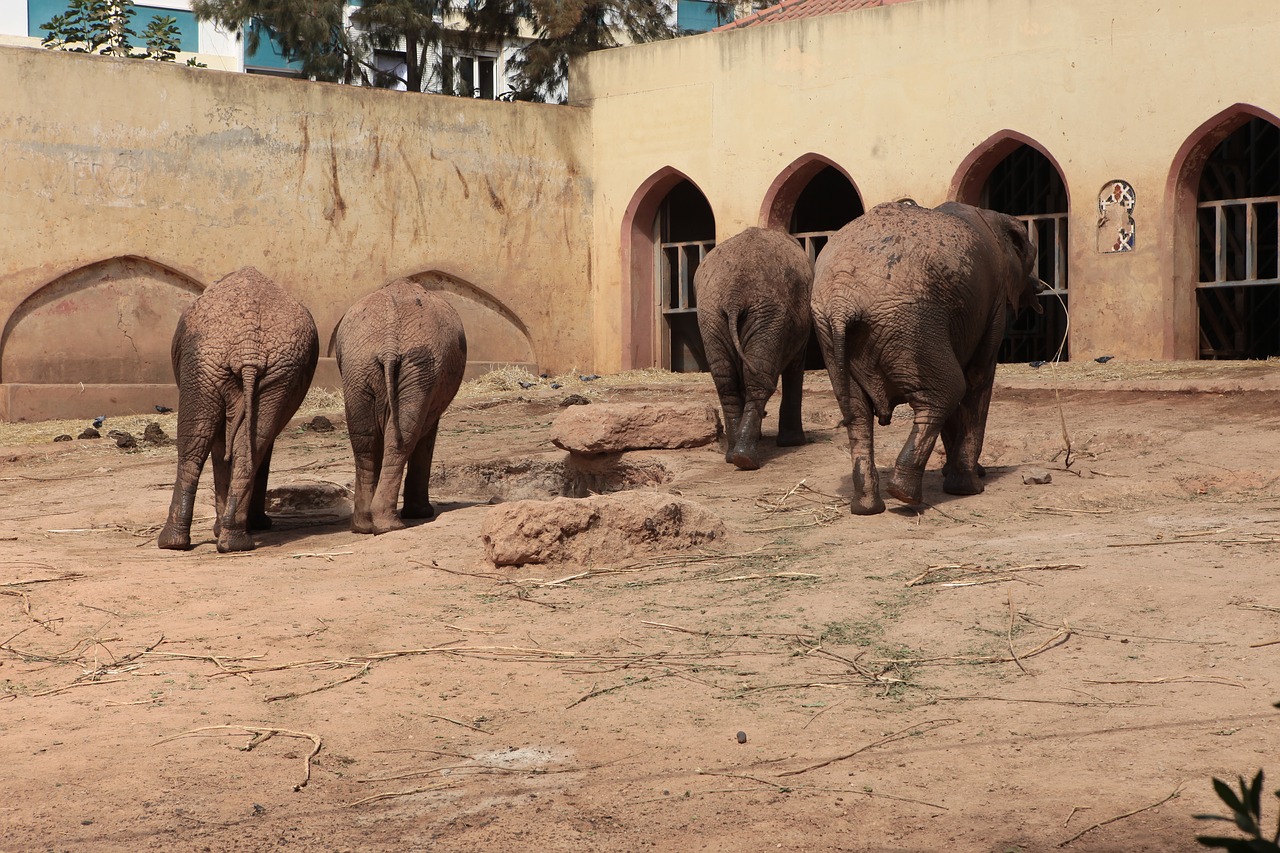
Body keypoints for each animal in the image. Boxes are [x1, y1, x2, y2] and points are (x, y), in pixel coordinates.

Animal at [158, 262, 320, 550]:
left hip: (213, 359)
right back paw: (225, 541)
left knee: (200, 444)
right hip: (246, 364)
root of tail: (248, 347)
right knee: (241, 442)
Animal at [335, 279, 465, 532]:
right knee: (403, 437)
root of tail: (389, 342)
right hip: (420, 367)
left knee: (364, 439)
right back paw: (390, 526)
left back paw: (364, 526)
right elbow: (426, 434)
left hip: (359, 366)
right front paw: (422, 514)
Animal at [696, 225, 814, 468]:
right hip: (768, 315)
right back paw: (746, 459)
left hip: (712, 316)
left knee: (726, 382)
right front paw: (794, 443)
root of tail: (734, 295)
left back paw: (735, 456)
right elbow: (795, 366)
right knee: (757, 381)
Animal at [814, 199, 1044, 512]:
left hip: (830, 332)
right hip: (910, 322)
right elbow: (977, 378)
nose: (1039, 287)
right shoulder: (994, 301)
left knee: (856, 412)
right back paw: (905, 495)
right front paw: (969, 486)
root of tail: (842, 302)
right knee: (946, 391)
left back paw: (867, 507)